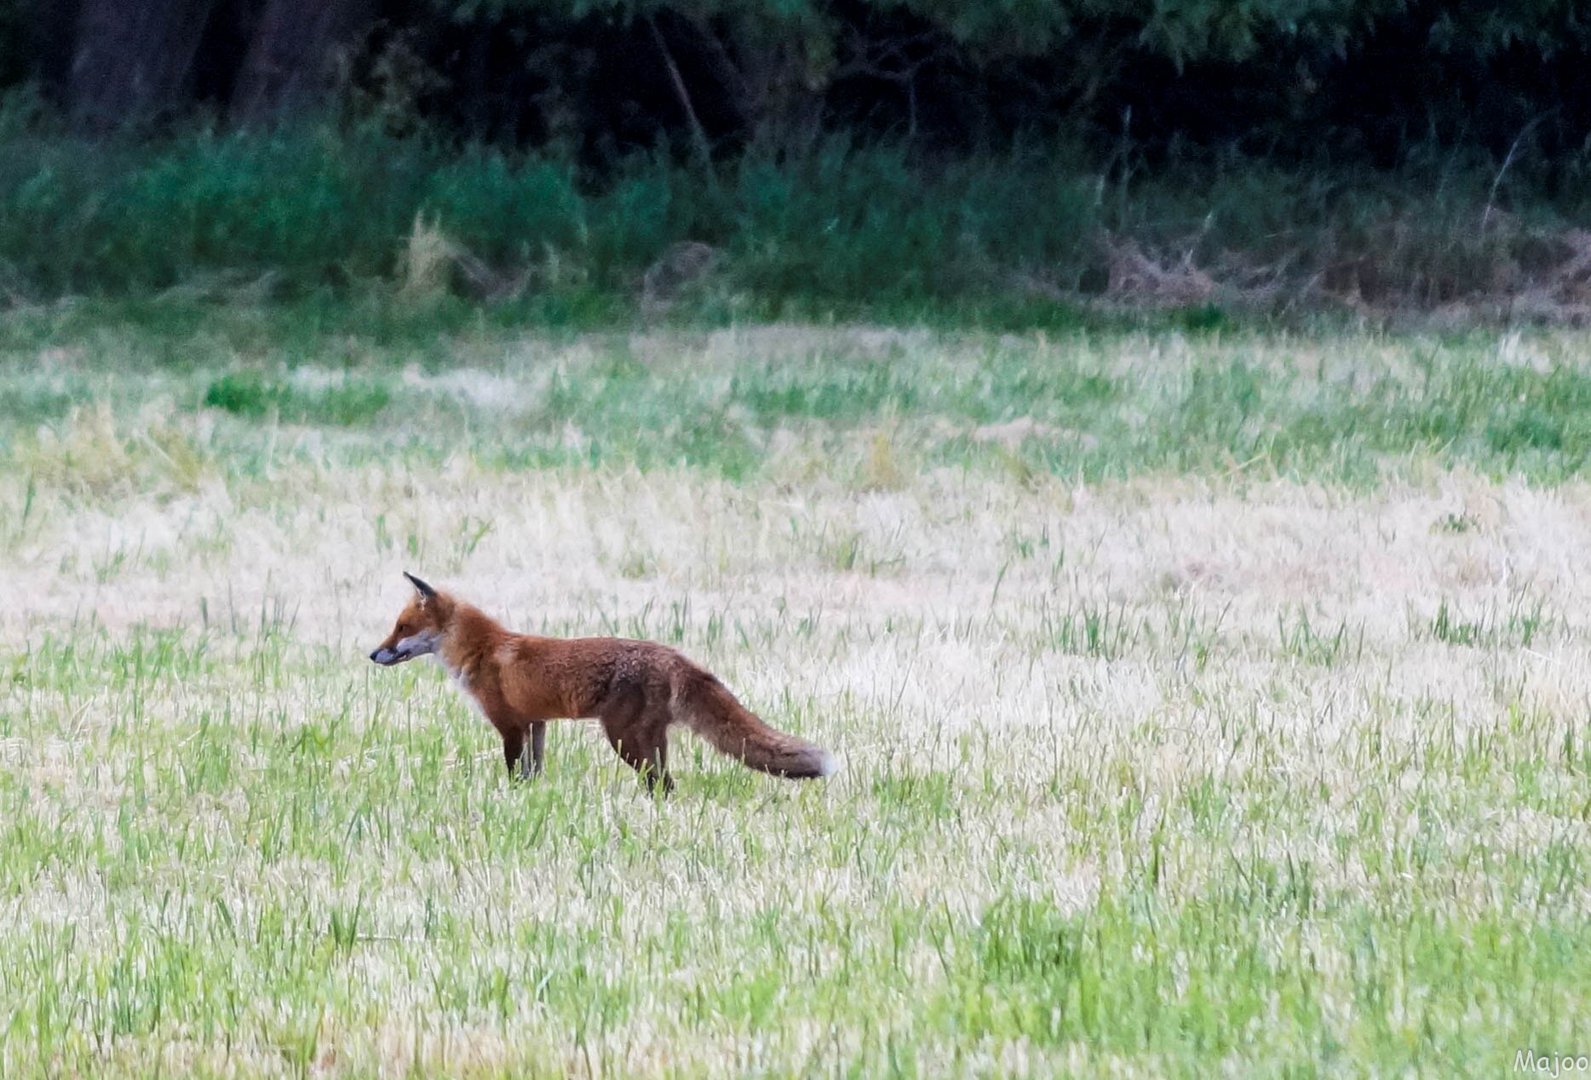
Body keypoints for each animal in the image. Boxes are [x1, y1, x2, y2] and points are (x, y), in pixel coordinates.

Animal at [367, 575, 840, 795]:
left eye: (401, 627)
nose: (373, 654)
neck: (483, 650)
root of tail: (673, 654)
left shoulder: (510, 726)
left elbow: (514, 772)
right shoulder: (537, 724)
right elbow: (534, 773)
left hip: (623, 740)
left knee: (662, 785)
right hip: (650, 741)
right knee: (666, 784)